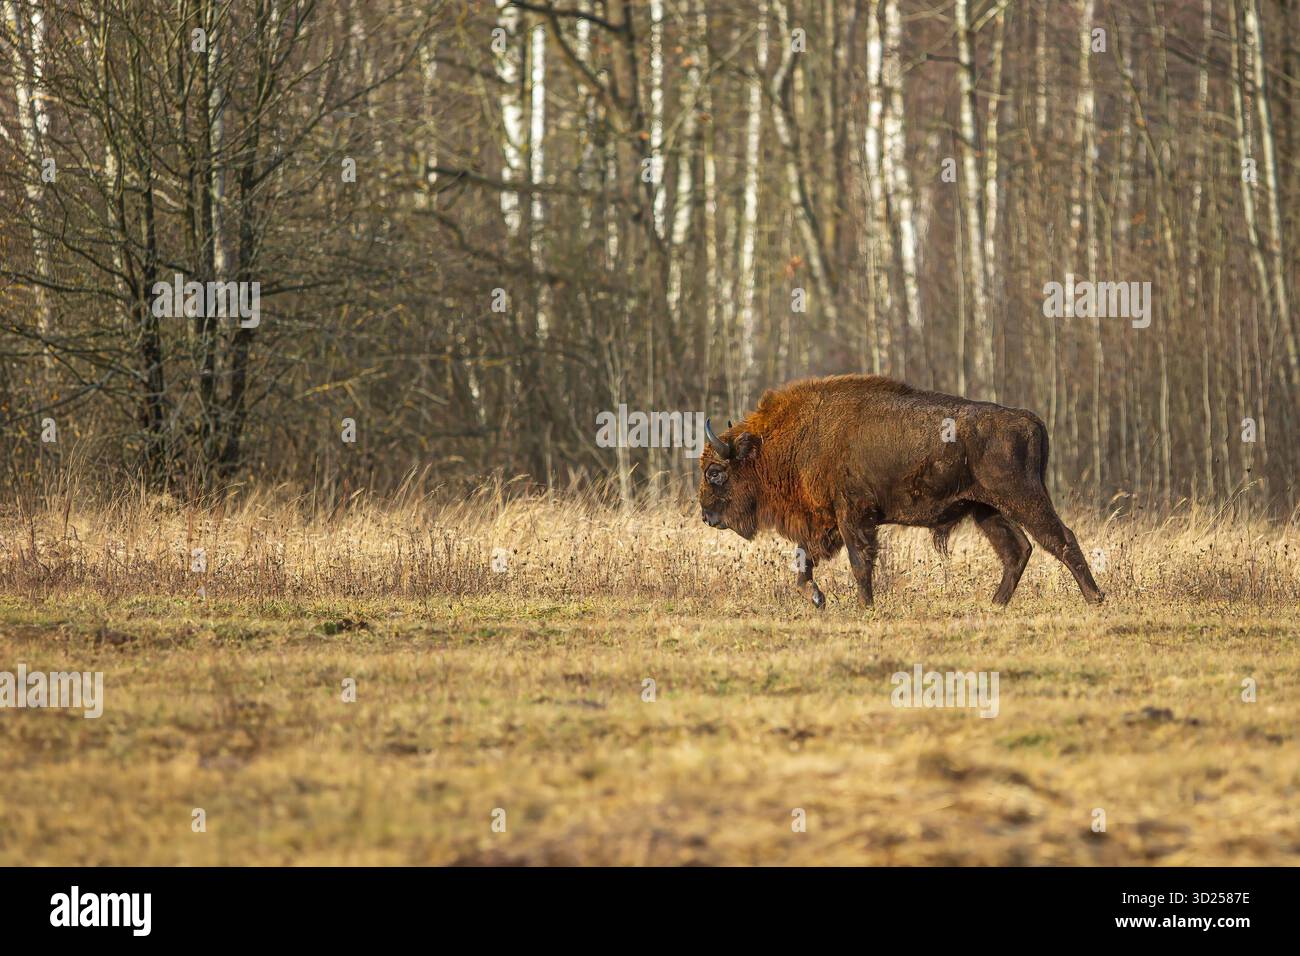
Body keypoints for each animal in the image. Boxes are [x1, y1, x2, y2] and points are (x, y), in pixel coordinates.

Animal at [699, 374, 1104, 608]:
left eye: (715, 472)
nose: (706, 515)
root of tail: (1028, 419)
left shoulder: (852, 516)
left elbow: (860, 561)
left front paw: (865, 606)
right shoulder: (826, 521)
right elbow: (805, 560)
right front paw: (817, 598)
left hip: (1022, 497)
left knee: (1060, 539)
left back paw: (1095, 598)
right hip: (986, 509)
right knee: (1017, 550)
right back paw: (995, 604)